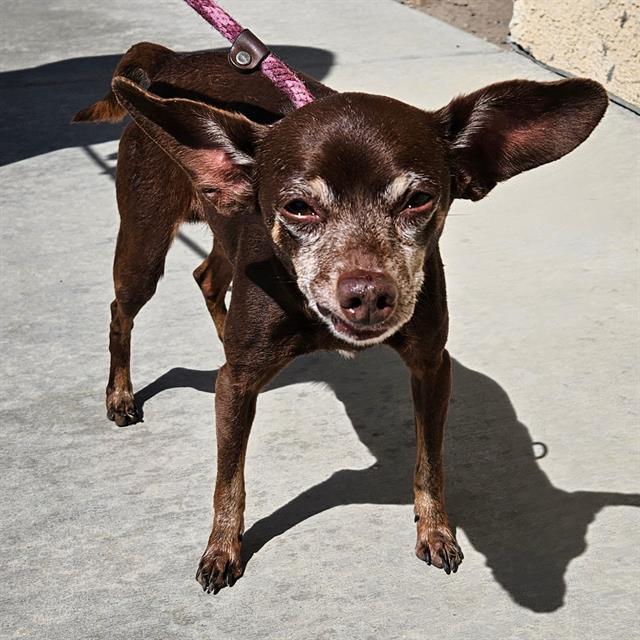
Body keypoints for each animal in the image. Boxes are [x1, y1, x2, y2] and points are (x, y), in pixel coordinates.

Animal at [74, 42, 604, 596]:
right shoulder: (235, 387)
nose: (368, 294)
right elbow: (229, 479)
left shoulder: (432, 368)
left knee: (206, 277)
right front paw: (222, 548)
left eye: (419, 200)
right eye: (297, 207)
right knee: (121, 312)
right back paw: (120, 394)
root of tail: (169, 59)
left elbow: (430, 462)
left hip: (222, 233)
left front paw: (435, 529)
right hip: (144, 246)